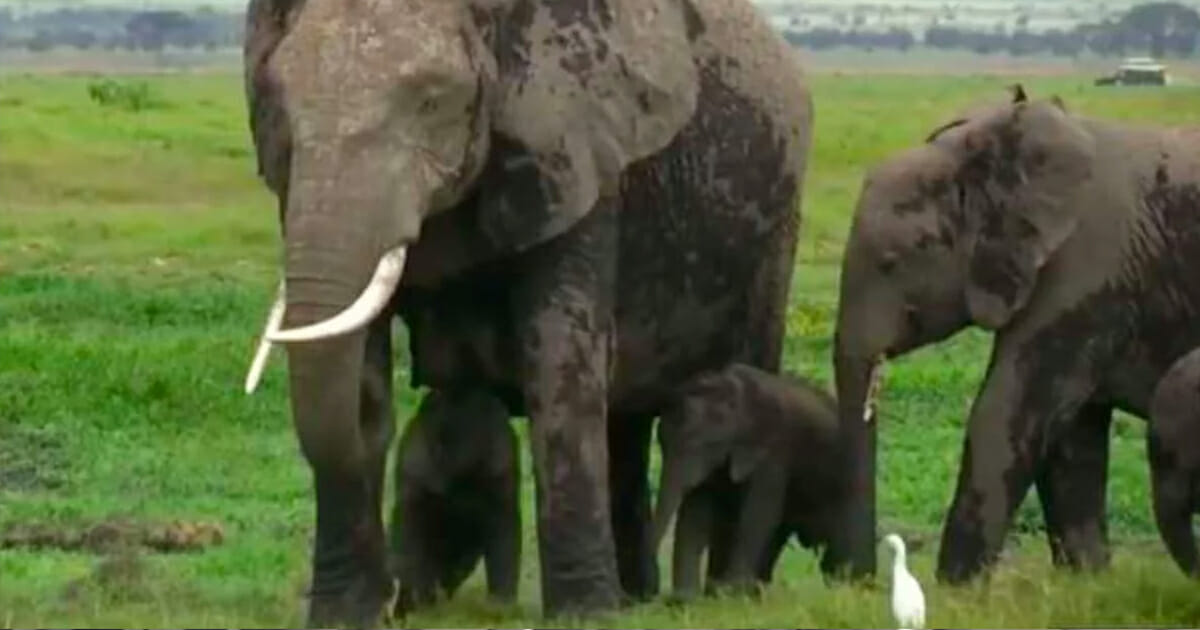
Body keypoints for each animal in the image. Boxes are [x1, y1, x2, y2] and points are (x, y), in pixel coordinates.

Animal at [652, 360, 840, 597]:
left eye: (706, 444)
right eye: (661, 442)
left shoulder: (773, 452)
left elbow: (757, 515)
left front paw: (730, 592)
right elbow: (696, 513)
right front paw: (687, 599)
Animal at [830, 85, 1200, 583]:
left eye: (890, 262)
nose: (859, 584)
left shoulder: (1084, 273)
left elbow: (1006, 414)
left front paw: (956, 591)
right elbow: (1071, 440)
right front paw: (1088, 582)